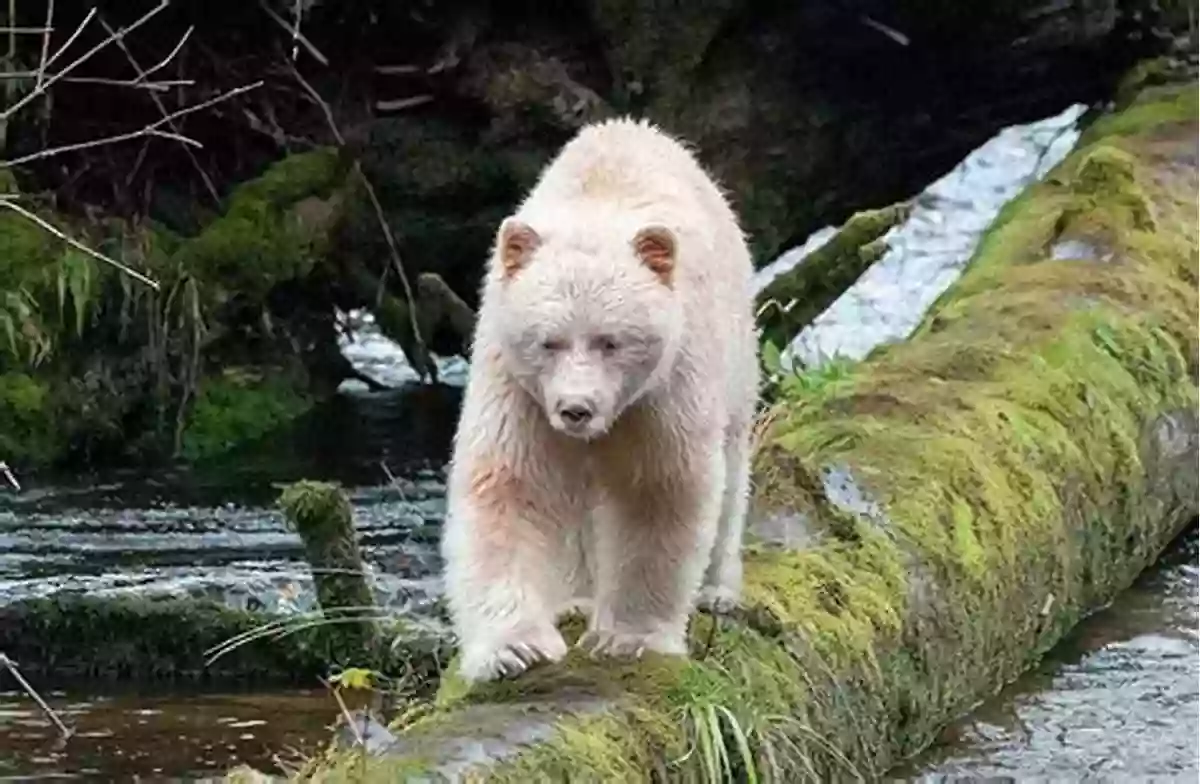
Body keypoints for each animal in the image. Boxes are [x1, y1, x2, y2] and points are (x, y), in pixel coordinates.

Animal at [441, 114, 758, 677]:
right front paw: (514, 648)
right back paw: (576, 599)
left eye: (611, 341)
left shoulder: (664, 389)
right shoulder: (518, 388)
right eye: (549, 340)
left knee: (731, 467)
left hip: (736, 350)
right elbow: (512, 485)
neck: (592, 211)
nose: (576, 409)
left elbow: (658, 488)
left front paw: (629, 638)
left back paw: (718, 591)